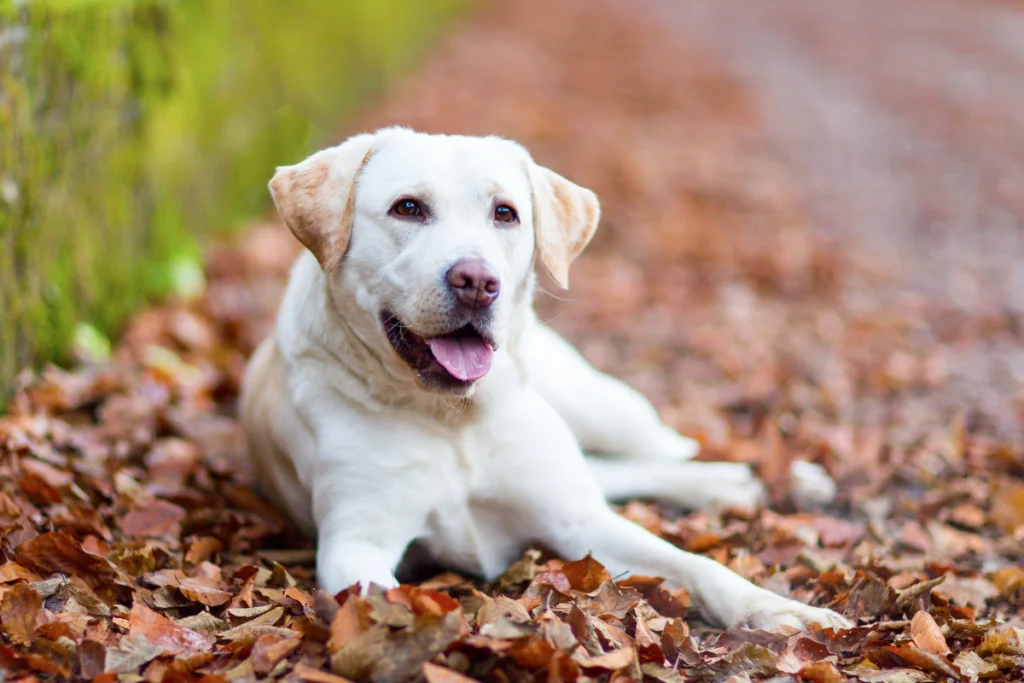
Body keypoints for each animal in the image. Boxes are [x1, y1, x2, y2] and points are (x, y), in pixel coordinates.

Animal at [239, 126, 847, 630]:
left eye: (505, 213)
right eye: (407, 208)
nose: (477, 282)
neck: (453, 419)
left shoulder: (579, 522)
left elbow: (696, 564)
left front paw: (780, 610)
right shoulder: (356, 542)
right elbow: (390, 599)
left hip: (602, 407)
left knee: (668, 448)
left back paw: (775, 476)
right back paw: (742, 484)